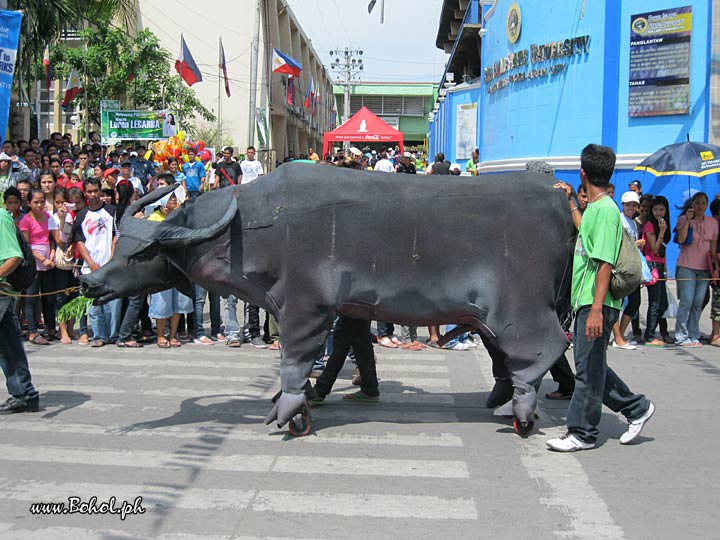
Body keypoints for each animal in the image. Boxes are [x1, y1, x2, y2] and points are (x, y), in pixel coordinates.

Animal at [80, 163, 572, 434]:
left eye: (141, 253)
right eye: (118, 246)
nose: (90, 282)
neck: (247, 228)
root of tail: (559, 202)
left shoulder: (305, 309)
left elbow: (295, 361)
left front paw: (290, 411)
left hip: (519, 309)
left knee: (542, 349)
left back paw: (522, 410)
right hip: (493, 317)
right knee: (512, 358)